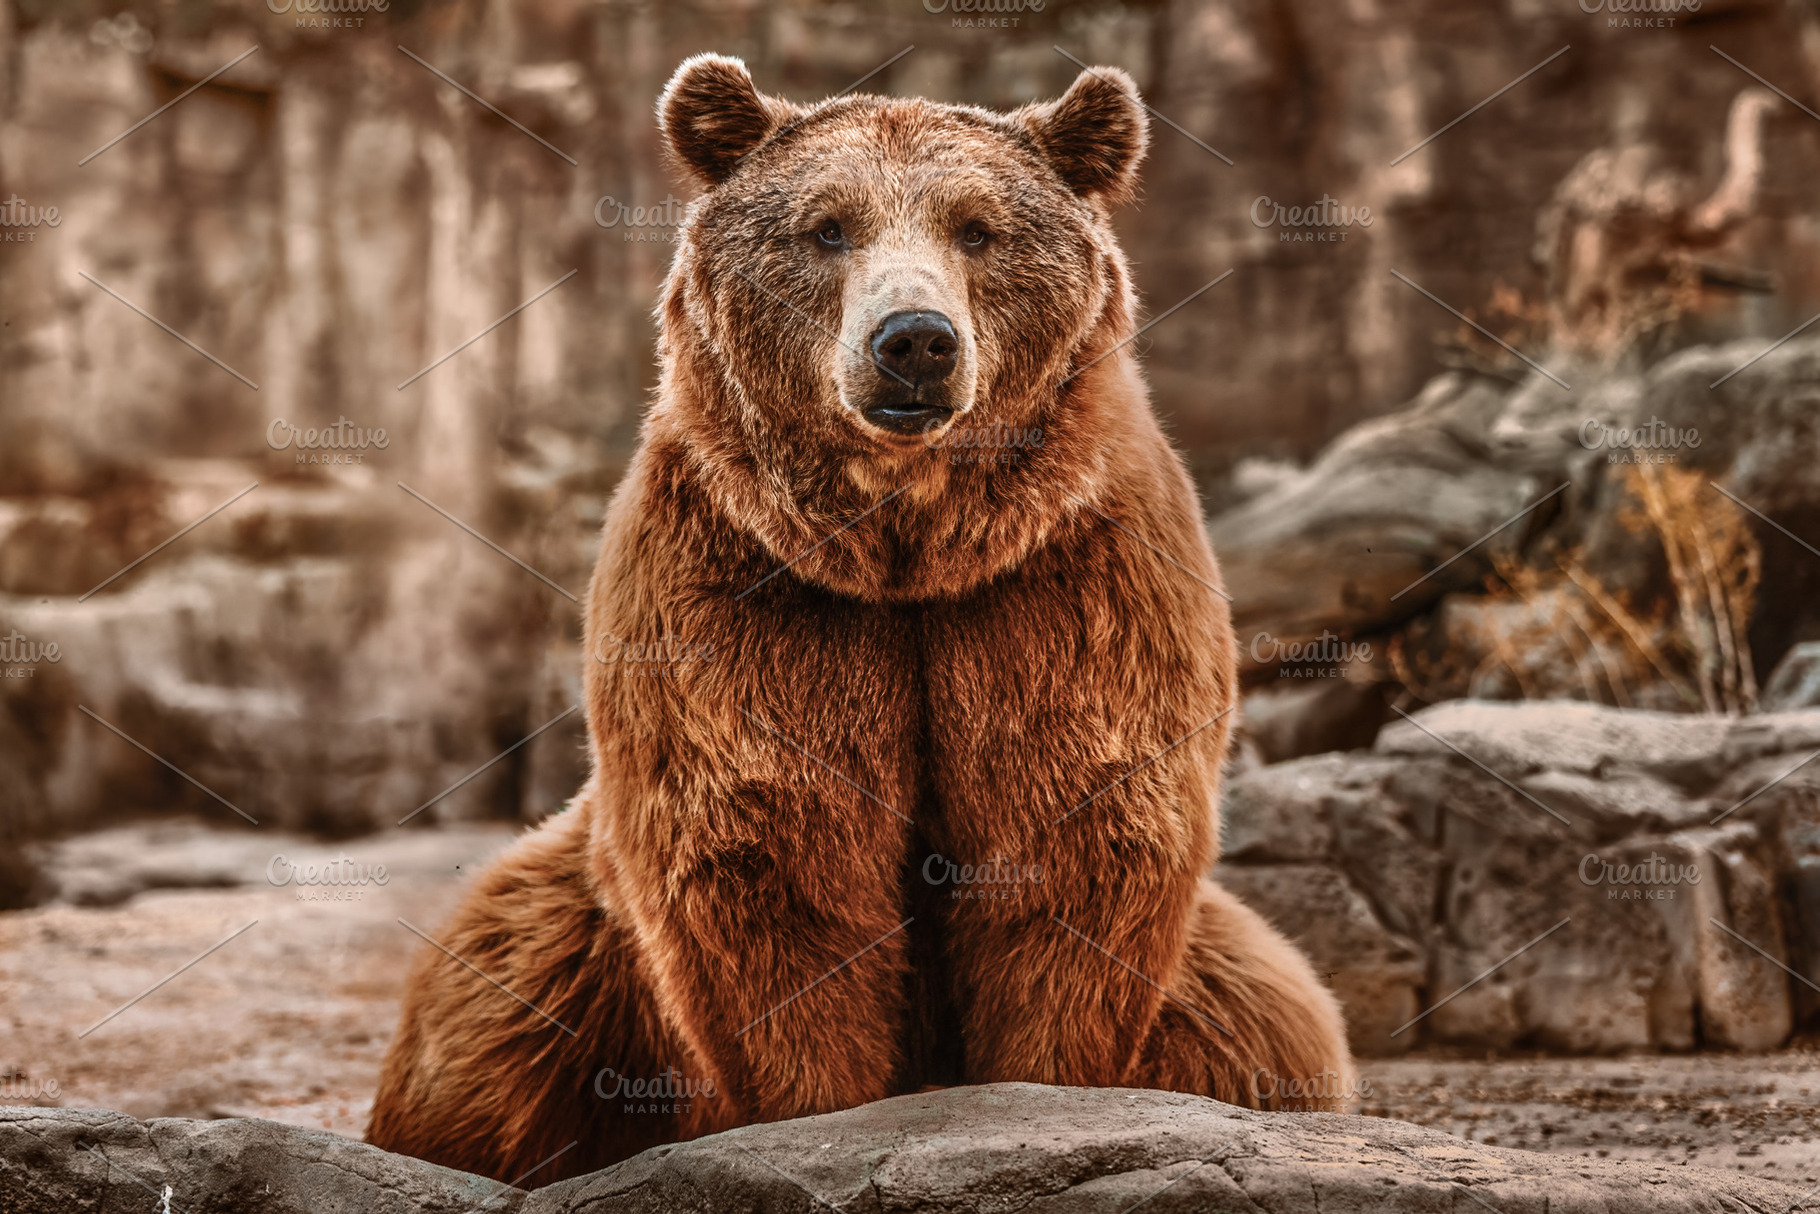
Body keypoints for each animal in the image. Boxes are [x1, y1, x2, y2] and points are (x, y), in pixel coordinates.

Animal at [365, 53, 1352, 1185]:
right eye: (827, 226)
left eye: (978, 228)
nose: (913, 341)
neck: (906, 549)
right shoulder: (750, 591)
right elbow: (775, 851)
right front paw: (814, 1118)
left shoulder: (1062, 583)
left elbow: (1072, 839)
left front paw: (1052, 1095)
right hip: (561, 922)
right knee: (491, 1024)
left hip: (1233, 975)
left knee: (1270, 1028)